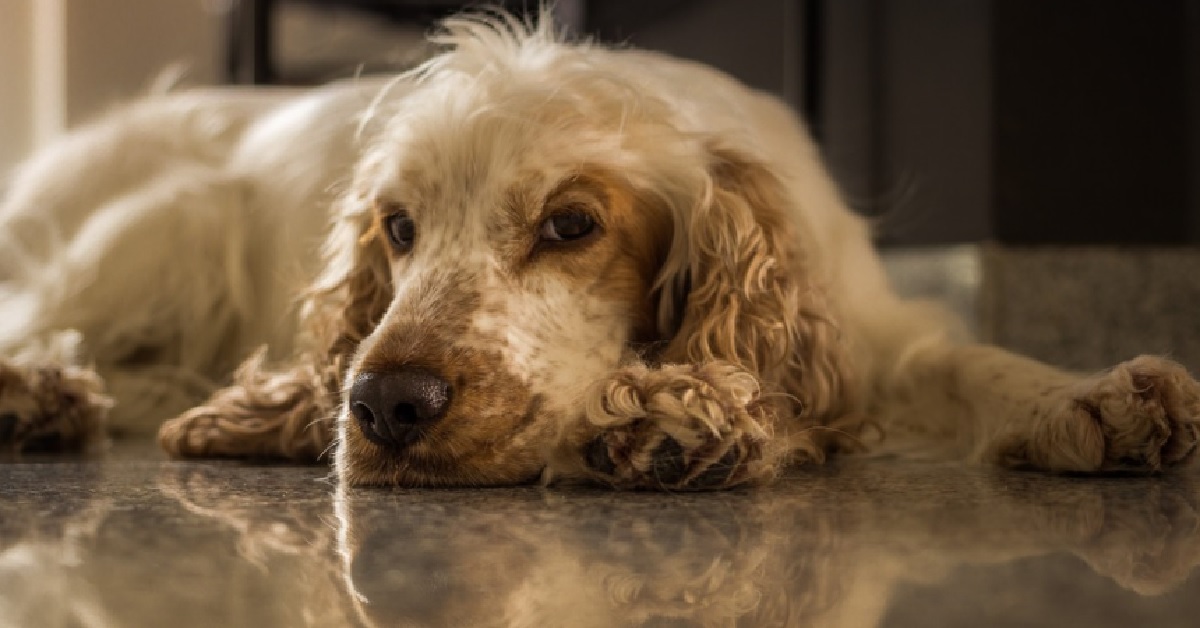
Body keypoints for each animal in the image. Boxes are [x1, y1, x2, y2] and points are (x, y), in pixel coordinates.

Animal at [0, 12, 1195, 489]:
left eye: (571, 224)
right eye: (398, 227)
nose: (386, 406)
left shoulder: (865, 330)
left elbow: (967, 362)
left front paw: (1090, 398)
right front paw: (661, 419)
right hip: (163, 227)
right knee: (39, 318)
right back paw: (39, 393)